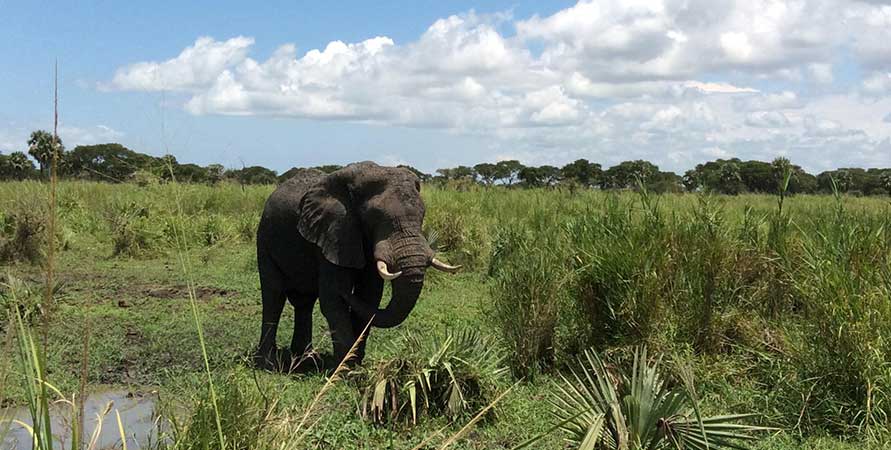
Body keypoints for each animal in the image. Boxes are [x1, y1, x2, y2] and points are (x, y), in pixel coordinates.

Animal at [251, 162, 460, 372]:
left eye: (422, 214)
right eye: (375, 217)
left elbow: (369, 296)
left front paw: (355, 365)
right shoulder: (334, 233)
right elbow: (332, 299)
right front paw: (346, 370)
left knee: (304, 302)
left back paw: (305, 359)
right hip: (264, 238)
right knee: (274, 296)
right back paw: (268, 363)